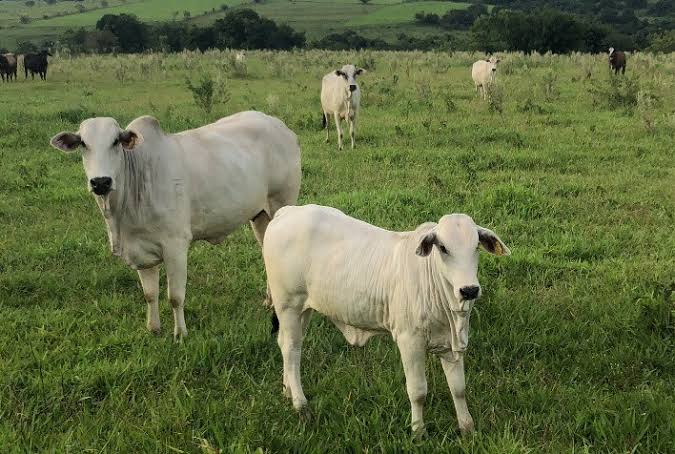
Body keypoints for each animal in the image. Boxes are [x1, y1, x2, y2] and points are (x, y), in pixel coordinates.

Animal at [52, 111, 304, 340]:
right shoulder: (140, 250)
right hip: (259, 215)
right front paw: (153, 328)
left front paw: (180, 333)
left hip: (281, 203)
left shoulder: (175, 246)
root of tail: (281, 126)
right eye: (83, 143)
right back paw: (269, 300)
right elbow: (150, 294)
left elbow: (175, 296)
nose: (101, 182)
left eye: (115, 141)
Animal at [264, 205, 512, 436]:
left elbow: (458, 388)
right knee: (291, 349)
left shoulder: (450, 345)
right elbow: (418, 391)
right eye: (443, 248)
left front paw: (467, 428)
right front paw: (418, 431)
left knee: (287, 345)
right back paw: (300, 404)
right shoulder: (409, 341)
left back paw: (287, 390)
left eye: (476, 247)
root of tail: (287, 212)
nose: (469, 290)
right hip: (288, 304)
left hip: (303, 309)